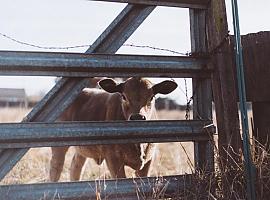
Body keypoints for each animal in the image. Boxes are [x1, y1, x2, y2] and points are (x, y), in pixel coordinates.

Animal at [49, 77, 178, 180]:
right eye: (124, 96)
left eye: (151, 97)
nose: (138, 117)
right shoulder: (113, 159)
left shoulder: (148, 160)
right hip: (59, 147)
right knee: (55, 169)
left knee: (76, 166)